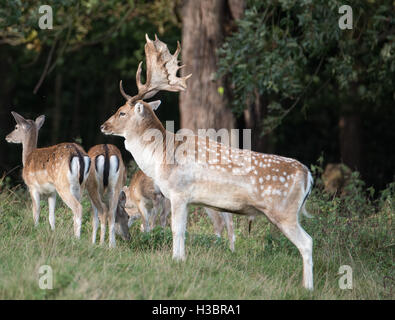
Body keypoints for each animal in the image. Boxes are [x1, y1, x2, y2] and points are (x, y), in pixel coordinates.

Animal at [101, 35, 316, 290]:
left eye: (122, 112)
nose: (103, 126)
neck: (161, 155)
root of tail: (308, 175)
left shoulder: (179, 192)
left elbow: (176, 229)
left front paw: (176, 260)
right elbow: (181, 229)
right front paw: (181, 259)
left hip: (284, 210)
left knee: (307, 242)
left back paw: (308, 287)